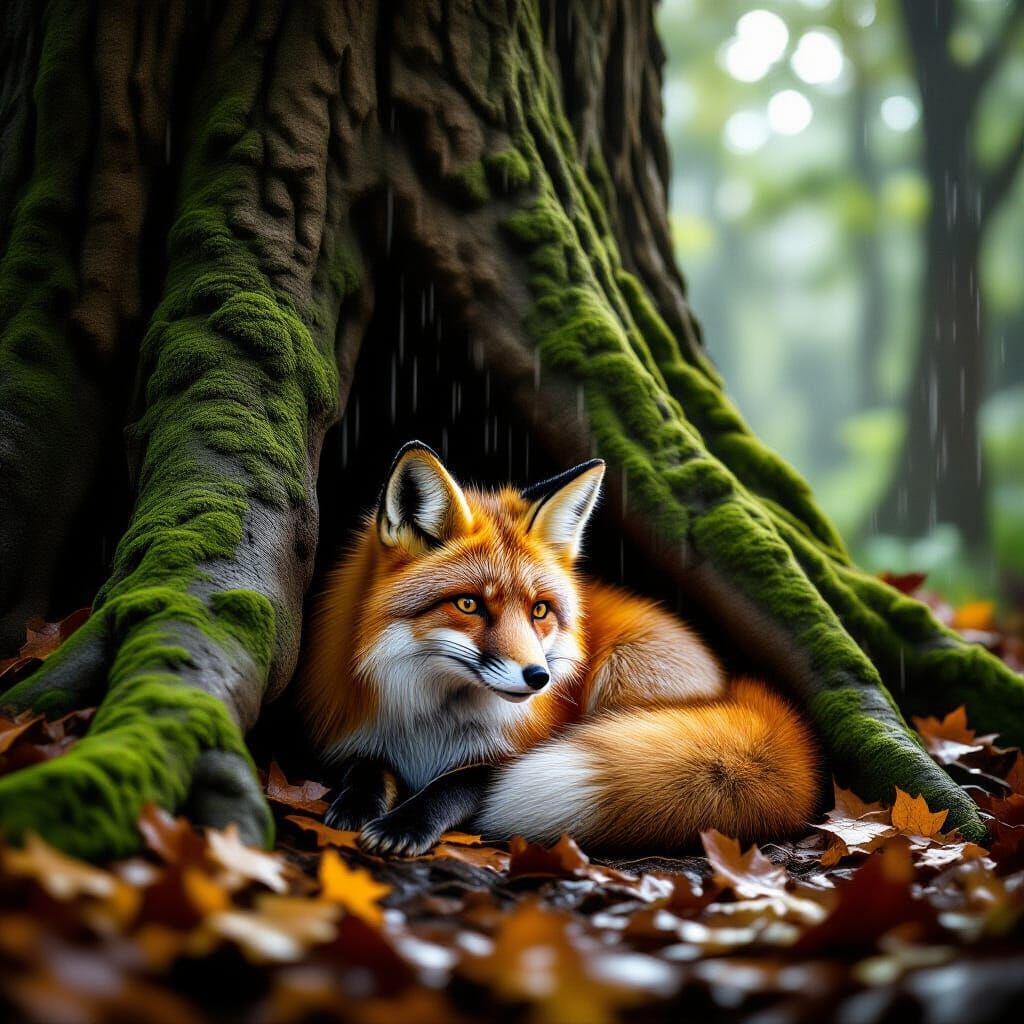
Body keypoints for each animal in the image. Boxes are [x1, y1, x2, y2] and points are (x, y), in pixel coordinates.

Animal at [296, 441, 820, 856]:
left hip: (620, 675)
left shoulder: (513, 754)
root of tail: (731, 683)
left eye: (540, 611)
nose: (538, 678)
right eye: (469, 604)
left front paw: (406, 822)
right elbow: (367, 766)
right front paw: (354, 805)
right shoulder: (359, 732)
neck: (434, 726)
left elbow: (457, 783)